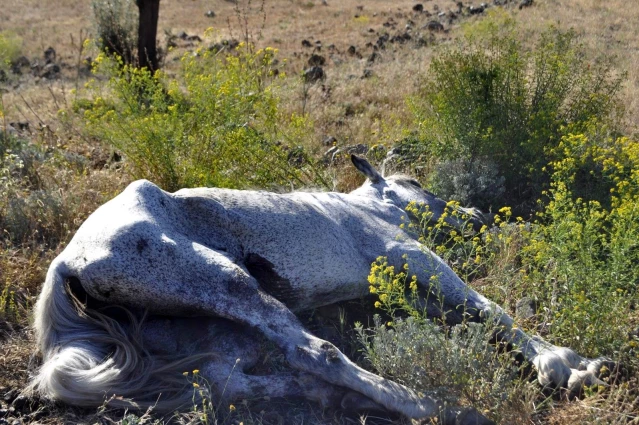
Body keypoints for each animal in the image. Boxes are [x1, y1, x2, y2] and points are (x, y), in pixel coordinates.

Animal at [27, 156, 612, 424]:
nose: (476, 215)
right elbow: (487, 308)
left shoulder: (404, 287)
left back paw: (356, 401)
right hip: (231, 287)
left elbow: (464, 314)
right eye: (415, 184)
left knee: (229, 380)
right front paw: (564, 365)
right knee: (313, 353)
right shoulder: (412, 257)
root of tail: (66, 261)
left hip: (206, 329)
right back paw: (432, 405)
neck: (367, 207)